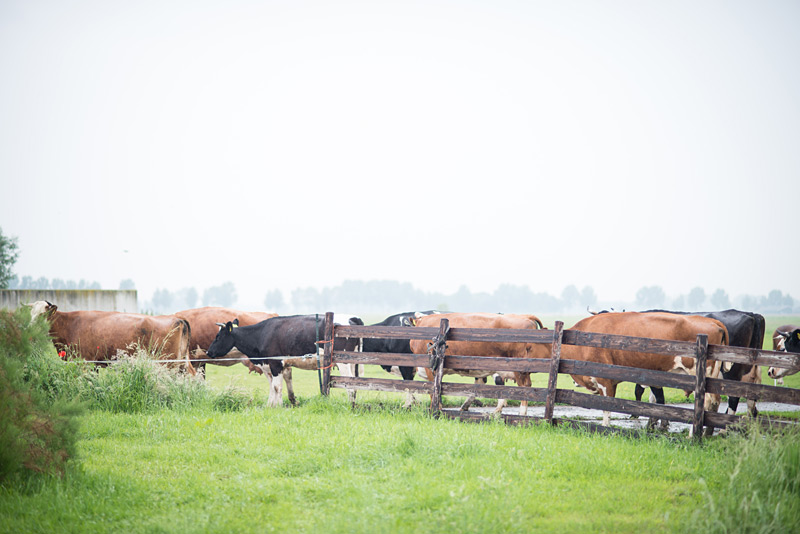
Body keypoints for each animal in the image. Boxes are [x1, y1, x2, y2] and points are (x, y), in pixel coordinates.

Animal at [29, 302, 197, 376]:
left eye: (43, 315)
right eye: (31, 314)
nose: (29, 329)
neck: (69, 324)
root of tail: (178, 319)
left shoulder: (84, 362)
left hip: (168, 362)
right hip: (182, 360)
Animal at [206, 316, 362, 408]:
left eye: (218, 336)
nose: (208, 352)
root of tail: (352, 318)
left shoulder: (275, 363)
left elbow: (276, 387)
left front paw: (278, 406)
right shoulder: (276, 365)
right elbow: (276, 386)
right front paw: (272, 405)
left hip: (344, 362)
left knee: (350, 384)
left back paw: (350, 406)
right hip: (353, 362)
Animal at [412, 314, 544, 418]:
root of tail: (526, 317)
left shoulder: (430, 369)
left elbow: (433, 392)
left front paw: (435, 410)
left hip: (519, 368)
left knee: (524, 387)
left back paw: (522, 413)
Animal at [564, 312, 724, 434]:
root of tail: (713, 322)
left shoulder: (604, 379)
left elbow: (606, 407)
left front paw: (604, 429)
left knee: (706, 403)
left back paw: (693, 434)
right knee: (715, 402)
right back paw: (708, 433)